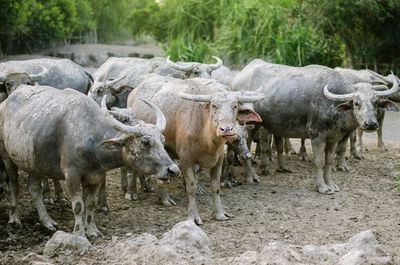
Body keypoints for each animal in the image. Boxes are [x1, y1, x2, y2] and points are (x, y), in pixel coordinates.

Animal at [0, 85, 178, 237]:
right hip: (7, 157)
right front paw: (79, 234)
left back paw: (48, 221)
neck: (91, 138)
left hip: (35, 163)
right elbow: (79, 206)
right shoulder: (71, 175)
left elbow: (90, 204)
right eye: (146, 142)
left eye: (162, 140)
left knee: (33, 187)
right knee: (14, 185)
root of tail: (5, 102)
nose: (173, 170)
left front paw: (92, 230)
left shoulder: (95, 177)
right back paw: (15, 218)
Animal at [126, 73, 262, 223]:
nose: (226, 129)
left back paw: (164, 198)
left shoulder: (219, 160)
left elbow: (216, 187)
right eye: (214, 106)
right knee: (134, 168)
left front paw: (220, 213)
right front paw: (193, 216)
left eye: (235, 106)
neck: (207, 140)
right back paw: (134, 193)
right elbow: (192, 188)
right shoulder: (186, 160)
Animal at [230, 58, 398, 193]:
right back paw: (251, 176)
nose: (371, 124)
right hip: (250, 124)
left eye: (376, 102)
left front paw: (331, 184)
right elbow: (319, 161)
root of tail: (237, 78)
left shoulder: (334, 138)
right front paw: (322, 187)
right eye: (356, 103)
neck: (333, 106)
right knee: (249, 144)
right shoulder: (317, 136)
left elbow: (329, 161)